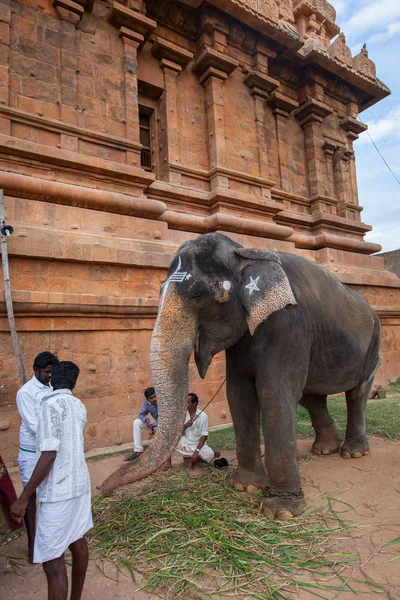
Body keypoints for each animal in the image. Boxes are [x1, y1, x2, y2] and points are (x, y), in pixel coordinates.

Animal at [98, 232, 380, 516]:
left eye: (198, 294)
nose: (101, 490)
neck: (244, 251)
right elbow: (238, 393)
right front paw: (245, 487)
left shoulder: (289, 324)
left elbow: (273, 392)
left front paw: (282, 511)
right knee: (312, 397)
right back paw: (325, 450)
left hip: (373, 344)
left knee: (357, 392)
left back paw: (353, 453)